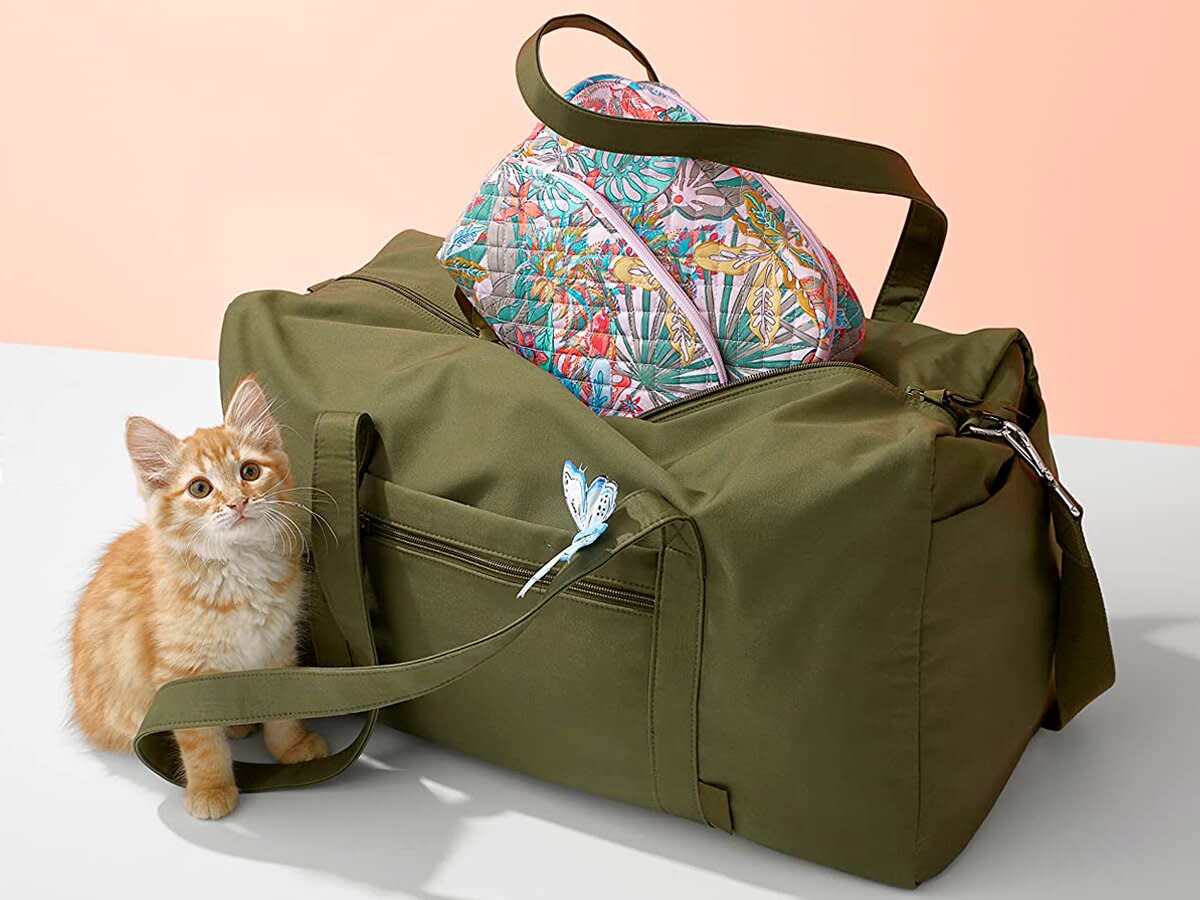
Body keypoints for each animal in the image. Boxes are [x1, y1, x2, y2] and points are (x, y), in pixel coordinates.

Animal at [74, 376, 328, 820]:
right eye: (200, 488)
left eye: (249, 471)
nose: (238, 502)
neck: (241, 573)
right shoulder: (181, 672)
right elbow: (203, 745)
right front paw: (211, 790)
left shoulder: (277, 647)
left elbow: (283, 712)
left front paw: (292, 747)